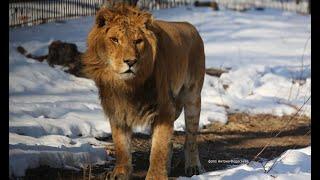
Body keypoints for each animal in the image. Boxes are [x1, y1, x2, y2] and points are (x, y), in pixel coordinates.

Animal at [83, 3, 205, 179]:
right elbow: (121, 145)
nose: (130, 62)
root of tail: (189, 25)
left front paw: (156, 176)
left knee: (191, 138)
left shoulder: (164, 109)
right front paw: (120, 173)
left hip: (192, 97)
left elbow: (158, 148)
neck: (128, 86)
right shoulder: (117, 109)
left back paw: (193, 166)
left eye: (138, 41)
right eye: (115, 40)